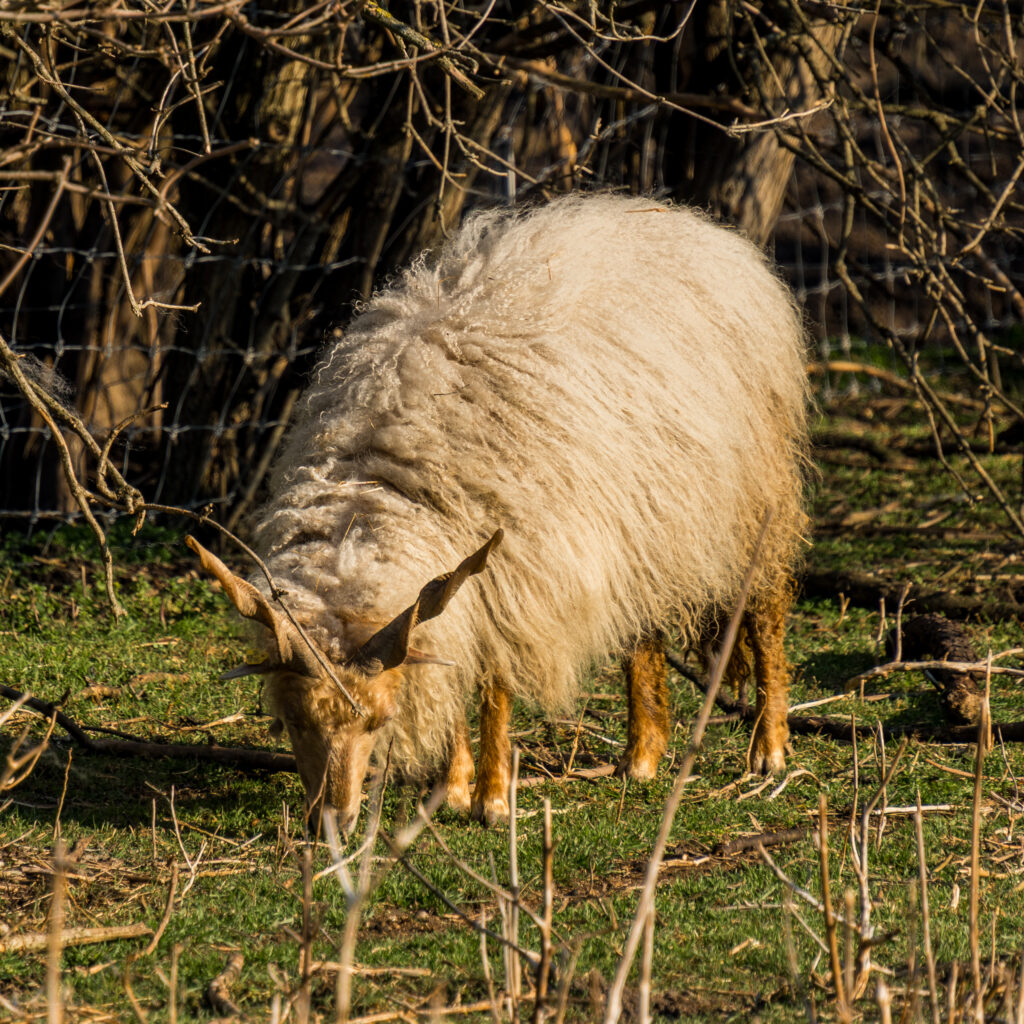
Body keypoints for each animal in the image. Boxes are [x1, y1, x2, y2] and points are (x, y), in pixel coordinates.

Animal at [184, 192, 806, 831]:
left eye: (378, 722)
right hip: (649, 515)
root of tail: (691, 224)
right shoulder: (460, 583)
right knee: (642, 625)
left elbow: (495, 684)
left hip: (757, 495)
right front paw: (454, 788)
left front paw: (492, 798)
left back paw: (769, 748)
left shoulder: (517, 572)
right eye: (290, 721)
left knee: (767, 610)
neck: (379, 481)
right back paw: (642, 755)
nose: (332, 823)